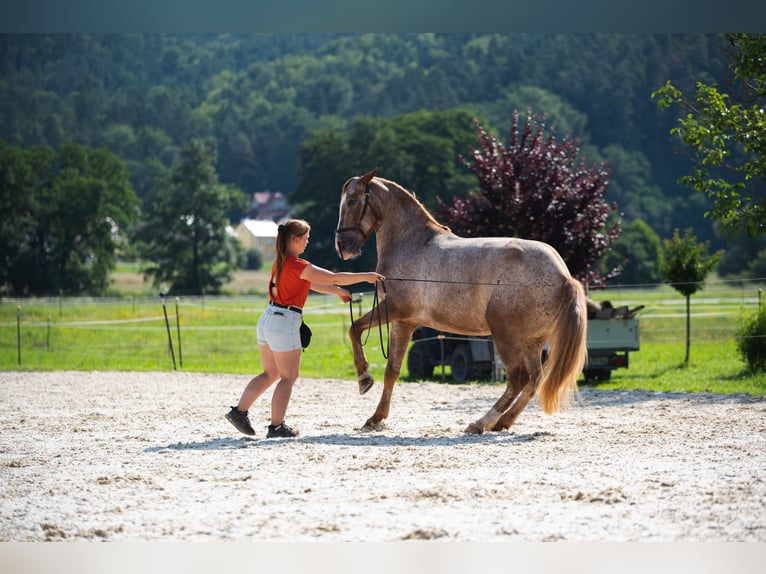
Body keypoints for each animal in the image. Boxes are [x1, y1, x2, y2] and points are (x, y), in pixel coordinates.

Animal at [334, 169, 588, 434]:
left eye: (352, 201)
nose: (342, 247)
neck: (412, 244)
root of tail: (563, 276)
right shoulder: (403, 322)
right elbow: (391, 370)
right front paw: (376, 418)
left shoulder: (394, 309)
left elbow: (354, 328)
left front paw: (364, 379)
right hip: (532, 342)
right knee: (535, 379)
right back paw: (503, 421)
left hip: (505, 335)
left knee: (519, 378)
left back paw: (481, 422)